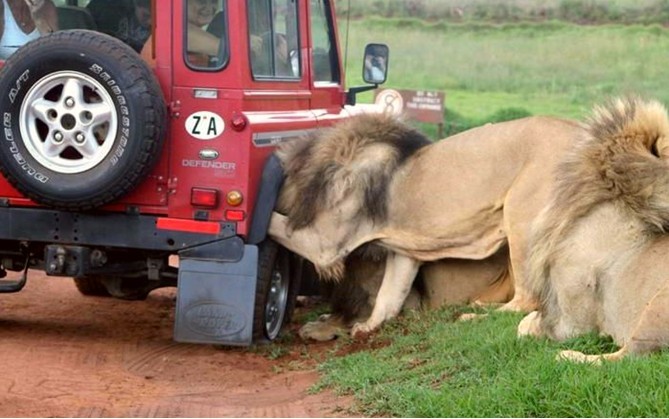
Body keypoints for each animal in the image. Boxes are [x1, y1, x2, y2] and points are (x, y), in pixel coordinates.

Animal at [268, 111, 580, 338]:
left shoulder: (325, 243)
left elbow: (275, 223)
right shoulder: (404, 253)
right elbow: (389, 294)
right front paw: (368, 327)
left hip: (520, 218)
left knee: (527, 301)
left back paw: (473, 314)